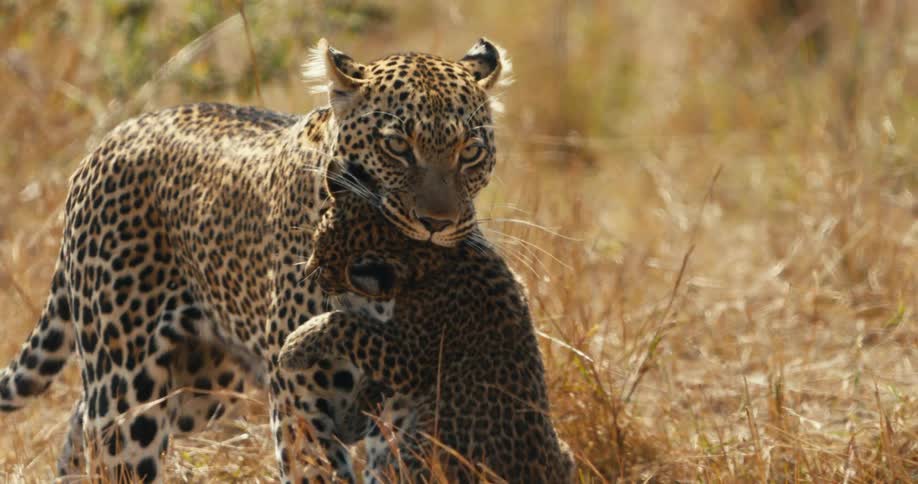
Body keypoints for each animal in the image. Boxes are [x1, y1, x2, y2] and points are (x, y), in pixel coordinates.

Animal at [0, 37, 509, 483]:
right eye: (398, 147)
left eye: (470, 152)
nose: (436, 223)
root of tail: (112, 136)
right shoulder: (301, 400)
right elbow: (317, 471)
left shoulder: (407, 404)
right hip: (129, 381)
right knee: (112, 444)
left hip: (199, 382)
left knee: (80, 419)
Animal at [279, 172, 575, 483]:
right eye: (315, 244)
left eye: (324, 266)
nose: (307, 272)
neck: (434, 258)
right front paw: (352, 420)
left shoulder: (410, 353)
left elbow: (347, 324)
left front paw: (294, 347)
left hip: (420, 455)